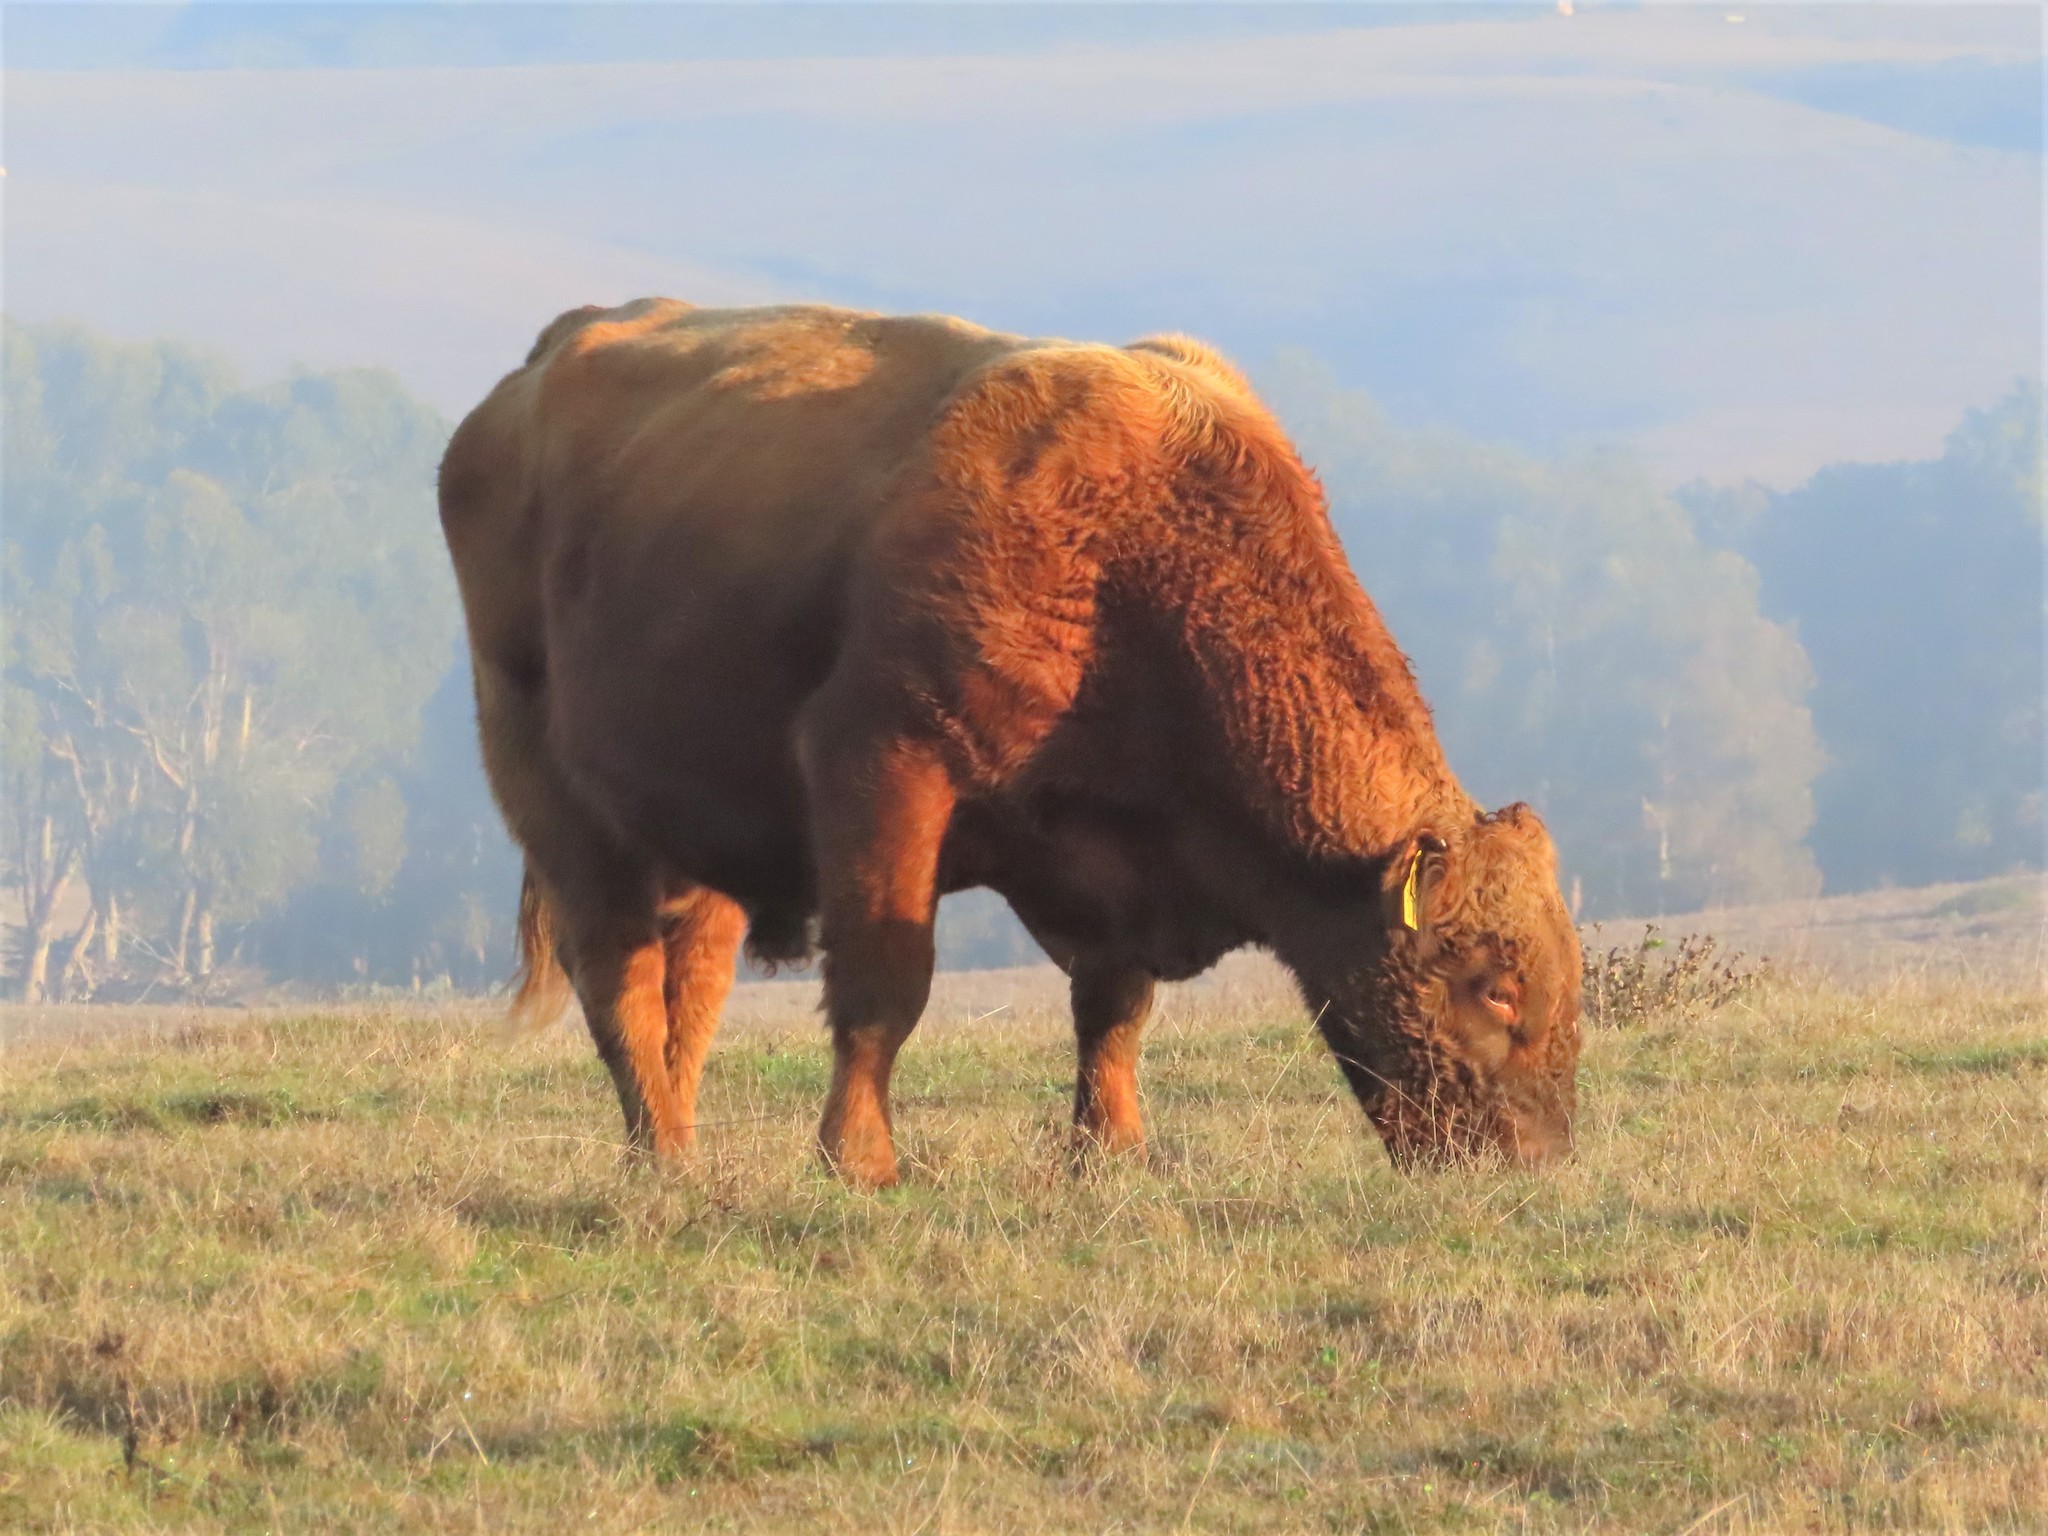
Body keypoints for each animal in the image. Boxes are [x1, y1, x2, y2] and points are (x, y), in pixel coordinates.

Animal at [440, 301, 1572, 1187]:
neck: (1137, 548)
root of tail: (546, 359)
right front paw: (860, 1163)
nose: (1537, 1160)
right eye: (1494, 985)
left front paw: (1109, 1152)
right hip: (555, 804)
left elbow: (1114, 1007)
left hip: (698, 843)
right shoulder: (883, 764)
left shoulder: (1110, 863)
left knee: (692, 990)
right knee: (618, 978)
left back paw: (678, 1148)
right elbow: (886, 982)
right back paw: (661, 1161)